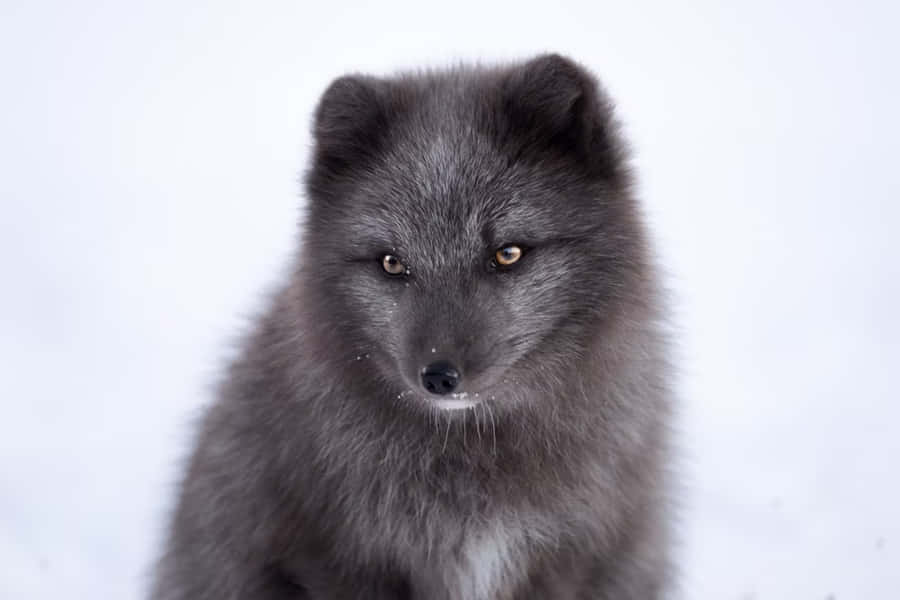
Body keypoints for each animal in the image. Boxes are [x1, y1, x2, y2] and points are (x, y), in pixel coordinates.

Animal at [150, 53, 674, 600]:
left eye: (507, 253)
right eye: (391, 263)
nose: (439, 376)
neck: (469, 461)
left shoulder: (570, 557)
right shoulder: (338, 557)